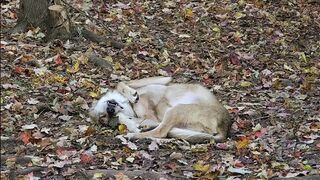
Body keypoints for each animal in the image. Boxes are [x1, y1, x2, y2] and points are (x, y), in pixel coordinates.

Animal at [89, 76, 231, 143]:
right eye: (104, 116)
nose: (110, 110)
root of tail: (225, 128)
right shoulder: (150, 117)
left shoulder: (163, 79)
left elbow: (121, 83)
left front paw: (131, 94)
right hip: (178, 113)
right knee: (161, 132)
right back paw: (133, 134)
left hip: (177, 110)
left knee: (161, 131)